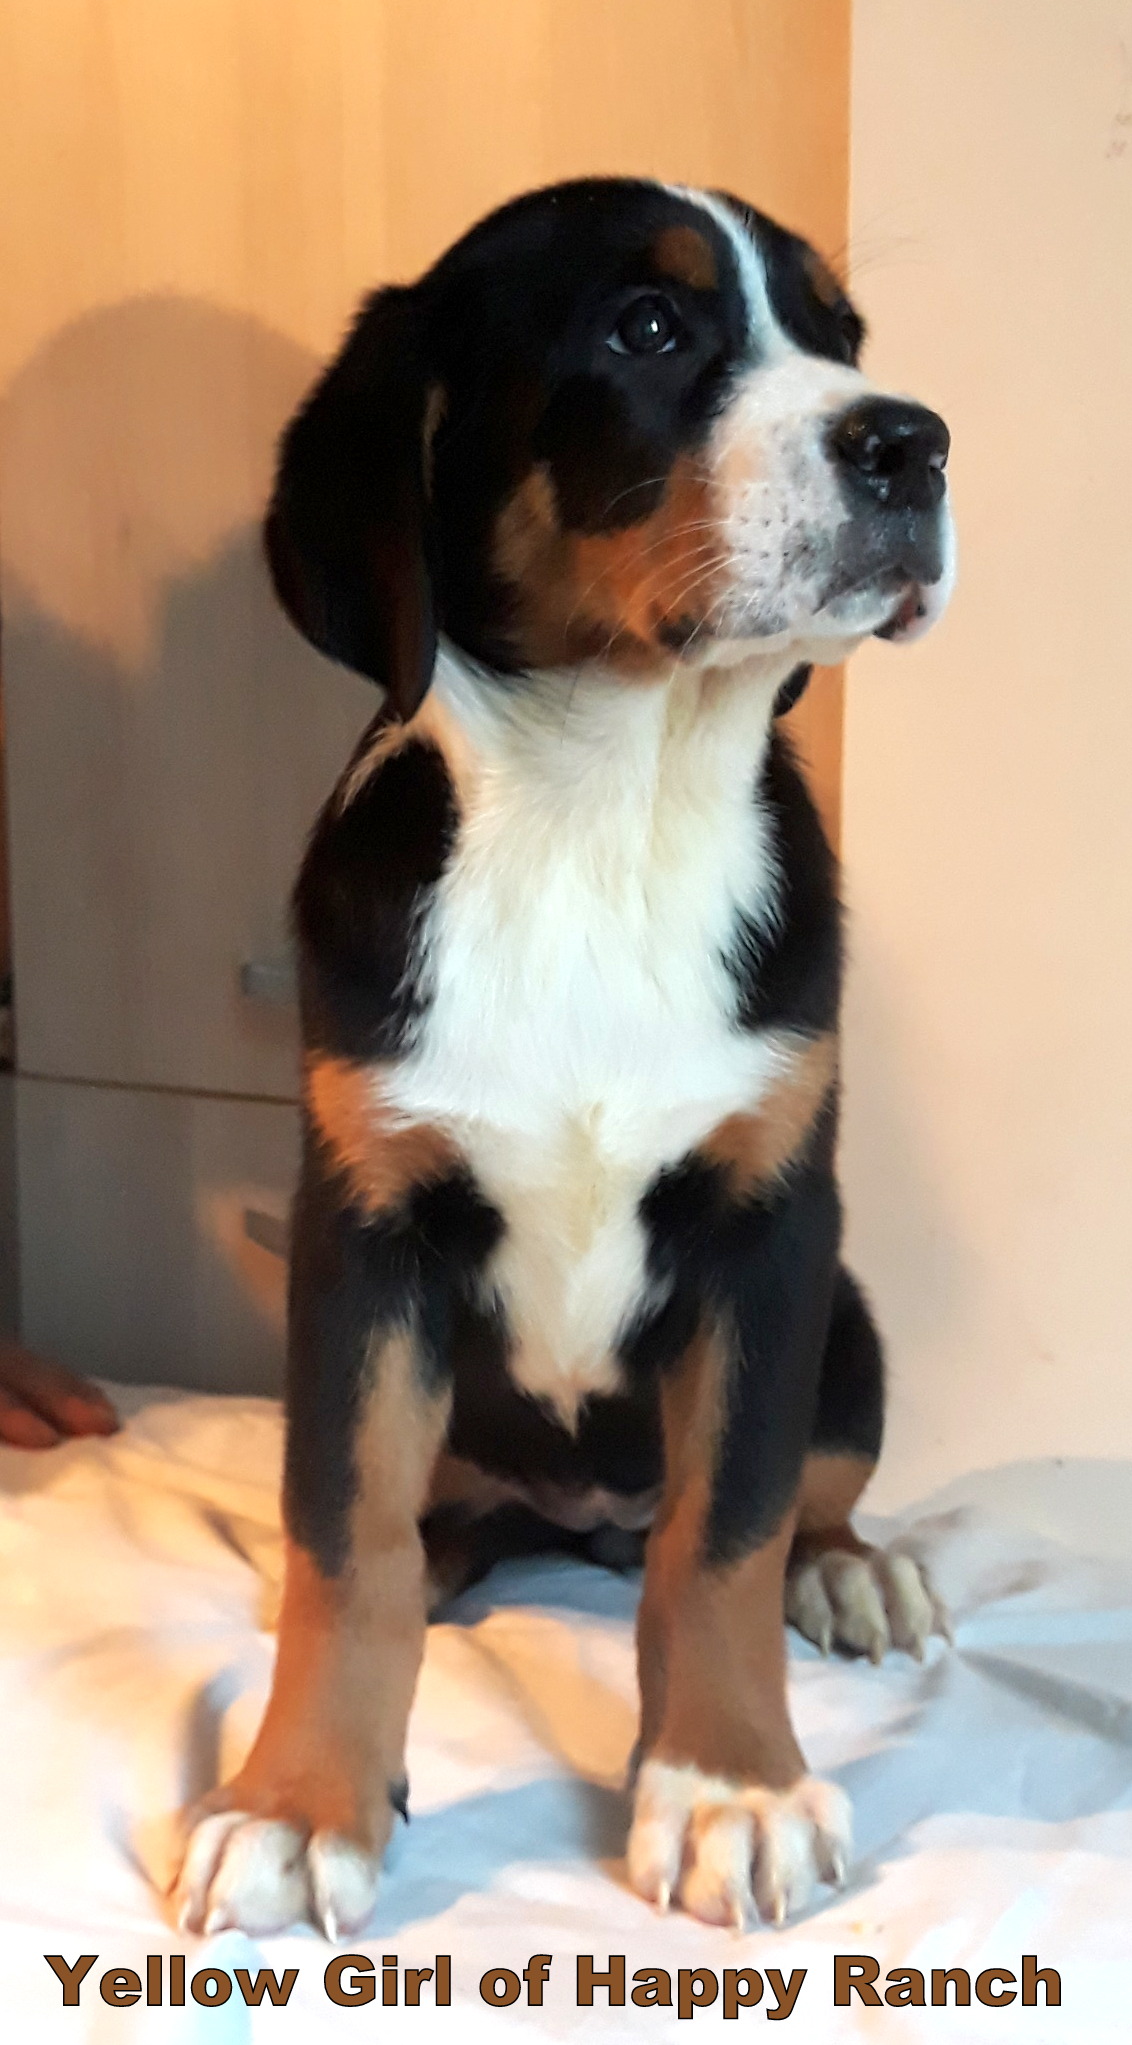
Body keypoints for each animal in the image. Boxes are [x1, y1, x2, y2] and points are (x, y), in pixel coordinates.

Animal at [176, 176, 954, 1939]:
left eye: (843, 334)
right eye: (647, 326)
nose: (915, 442)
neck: (613, 806)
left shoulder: (767, 1231)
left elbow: (725, 1539)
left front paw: (727, 1785)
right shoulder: (367, 1230)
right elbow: (349, 1543)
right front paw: (296, 1798)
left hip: (851, 1319)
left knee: (801, 1497)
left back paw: (854, 1570)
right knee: (416, 1528)